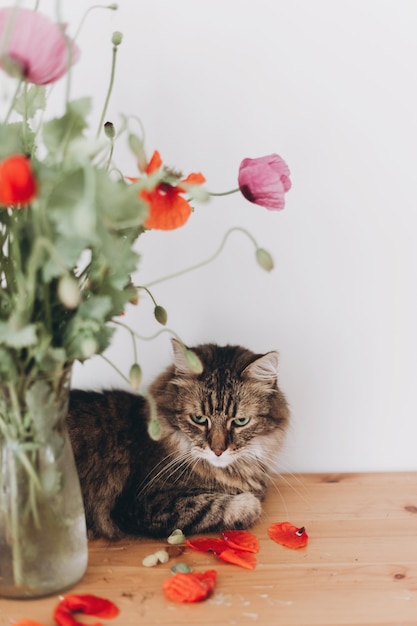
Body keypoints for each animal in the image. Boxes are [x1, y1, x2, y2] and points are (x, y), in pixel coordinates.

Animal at [66, 338, 288, 540]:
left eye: (241, 421)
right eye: (199, 419)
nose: (217, 450)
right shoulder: (144, 503)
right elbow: (215, 506)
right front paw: (249, 503)